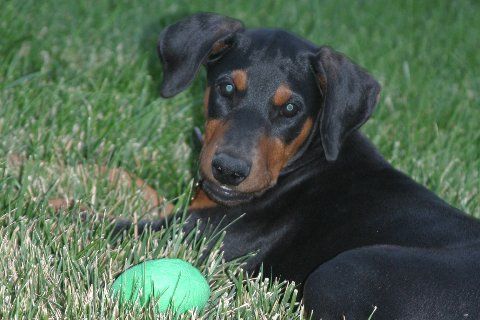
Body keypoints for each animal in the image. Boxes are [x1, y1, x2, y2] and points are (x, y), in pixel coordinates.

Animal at [135, 13, 480, 320]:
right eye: (227, 88)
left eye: (290, 108)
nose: (229, 171)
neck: (303, 161)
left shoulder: (200, 232)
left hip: (344, 271)